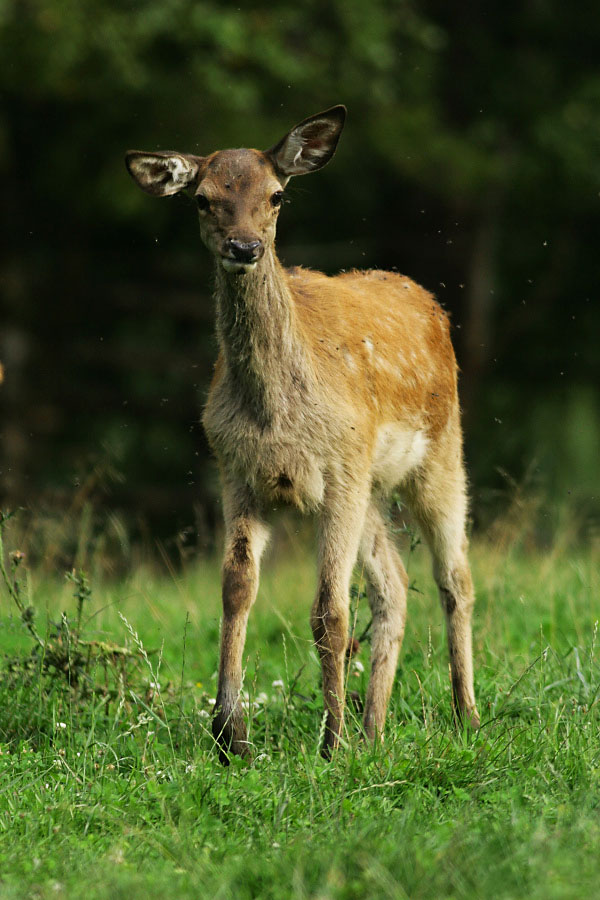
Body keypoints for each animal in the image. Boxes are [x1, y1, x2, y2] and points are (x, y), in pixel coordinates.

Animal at [125, 105, 480, 762]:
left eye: (277, 195)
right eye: (203, 199)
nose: (244, 247)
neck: (277, 418)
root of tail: (432, 303)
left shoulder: (340, 469)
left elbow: (329, 614)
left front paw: (330, 744)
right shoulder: (237, 472)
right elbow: (237, 588)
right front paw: (229, 735)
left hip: (438, 455)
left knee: (455, 578)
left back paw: (463, 715)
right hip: (369, 488)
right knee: (396, 585)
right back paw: (375, 729)